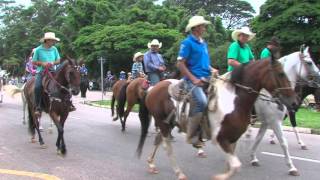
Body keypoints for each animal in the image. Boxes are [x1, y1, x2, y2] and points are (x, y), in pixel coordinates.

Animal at [136, 57, 298, 180]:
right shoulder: (221, 138)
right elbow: (236, 165)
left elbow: (232, 164)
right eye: (281, 74)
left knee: (159, 140)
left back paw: (151, 164)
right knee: (166, 146)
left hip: (167, 123)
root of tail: (153, 88)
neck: (235, 99)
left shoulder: (233, 139)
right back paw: (179, 172)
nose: (294, 102)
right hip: (163, 123)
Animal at [250, 45, 320, 176]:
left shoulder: (269, 121)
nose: (319, 78)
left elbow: (259, 139)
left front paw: (253, 157)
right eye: (309, 62)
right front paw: (292, 166)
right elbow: (285, 140)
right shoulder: (280, 118)